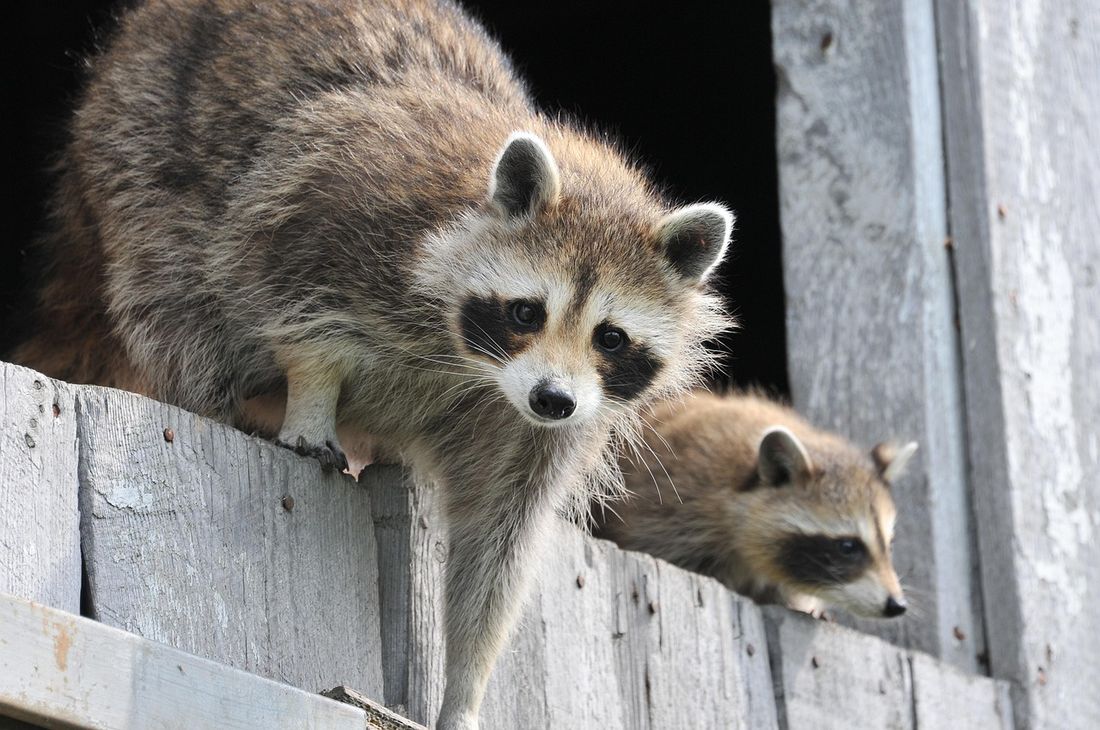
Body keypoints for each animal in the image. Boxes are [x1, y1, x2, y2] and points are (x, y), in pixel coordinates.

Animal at [14, 1, 734, 727]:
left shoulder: (535, 427)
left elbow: (498, 545)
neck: (473, 363)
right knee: (173, 291)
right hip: (137, 138)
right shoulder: (340, 209)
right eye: (528, 312)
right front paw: (311, 395)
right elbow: (293, 303)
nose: (552, 399)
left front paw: (466, 686)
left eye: (610, 338)